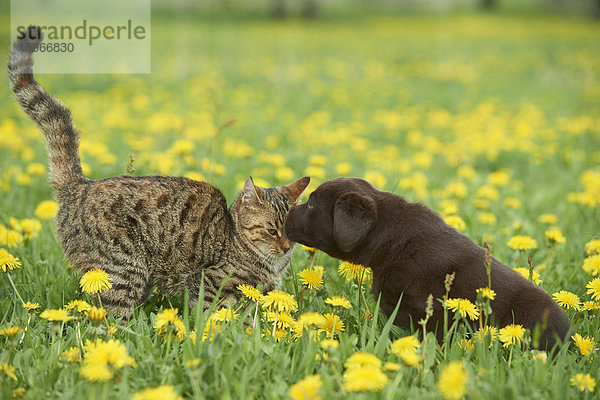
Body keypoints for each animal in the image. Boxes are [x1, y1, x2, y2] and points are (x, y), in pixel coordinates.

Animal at [9, 26, 310, 318]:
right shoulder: (208, 286)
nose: (287, 247)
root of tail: (82, 185)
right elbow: (216, 319)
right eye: (271, 230)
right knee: (111, 321)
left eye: (292, 231)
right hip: (122, 272)